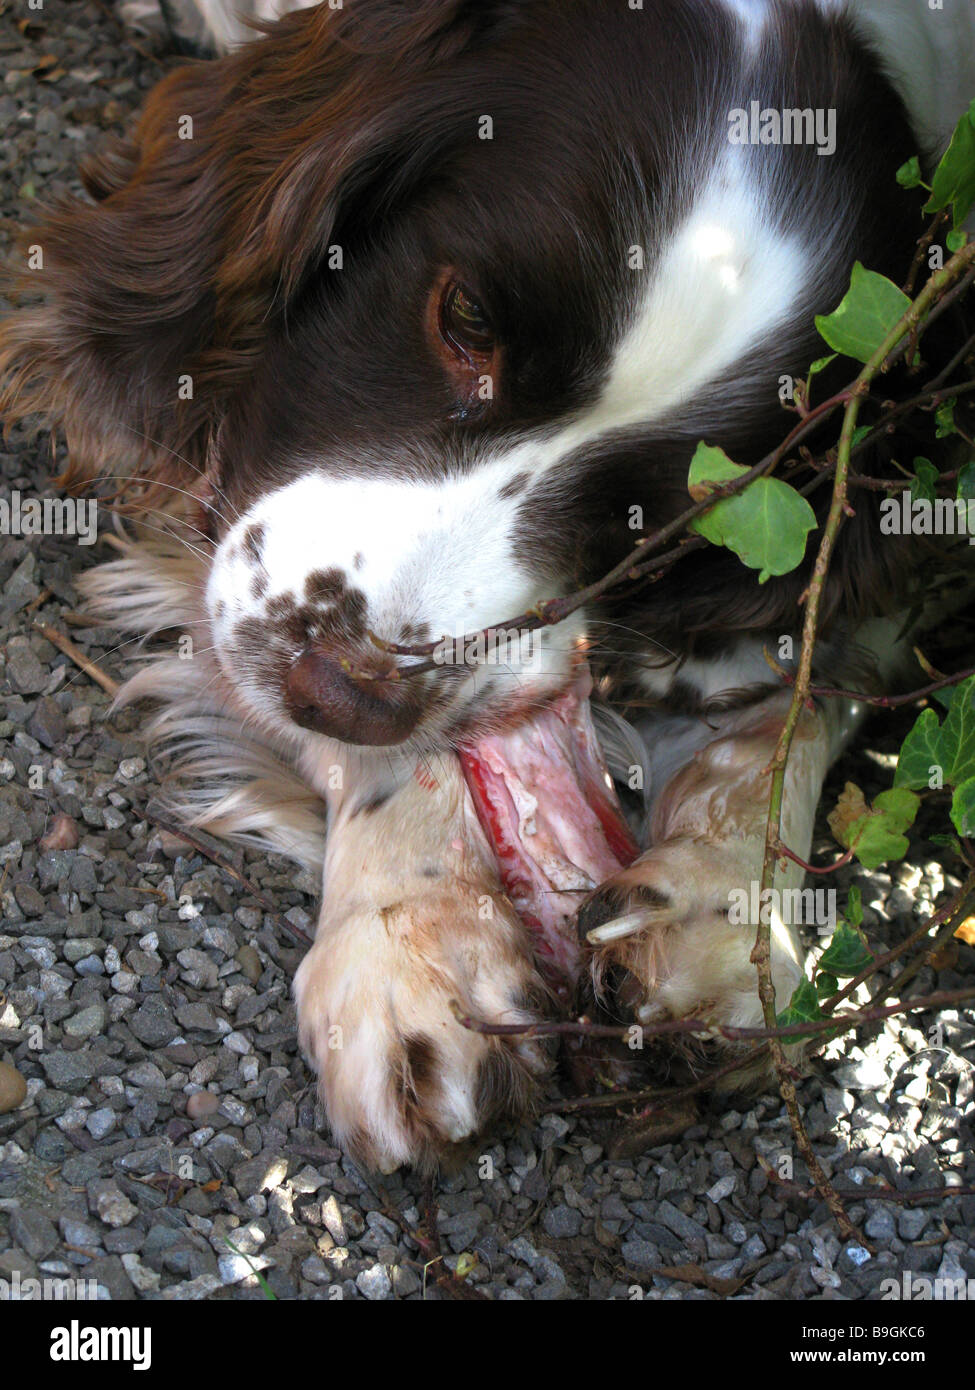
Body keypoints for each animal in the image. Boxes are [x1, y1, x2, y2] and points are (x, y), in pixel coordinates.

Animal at [1, 0, 973, 1173]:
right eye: (463, 317)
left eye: (676, 507)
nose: (340, 690)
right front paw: (414, 948)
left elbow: (797, 687)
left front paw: (722, 912)